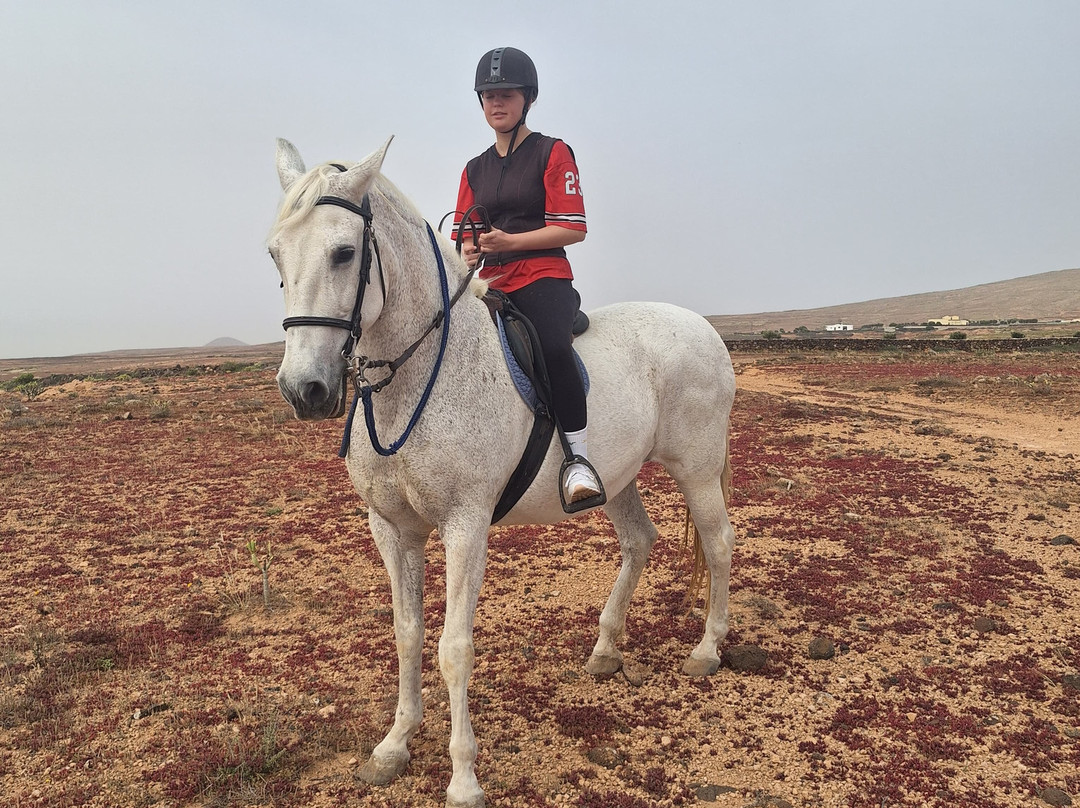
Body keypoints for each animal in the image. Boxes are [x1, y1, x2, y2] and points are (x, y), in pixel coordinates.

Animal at [269, 137, 737, 808]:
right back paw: (604, 649)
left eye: (344, 252)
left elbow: (454, 648)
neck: (415, 378)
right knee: (639, 542)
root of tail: (702, 327)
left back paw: (706, 650)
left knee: (719, 544)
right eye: (275, 253)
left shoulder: (465, 527)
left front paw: (463, 777)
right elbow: (408, 634)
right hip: (619, 479)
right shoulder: (392, 528)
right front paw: (394, 745)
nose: (304, 389)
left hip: (696, 467)